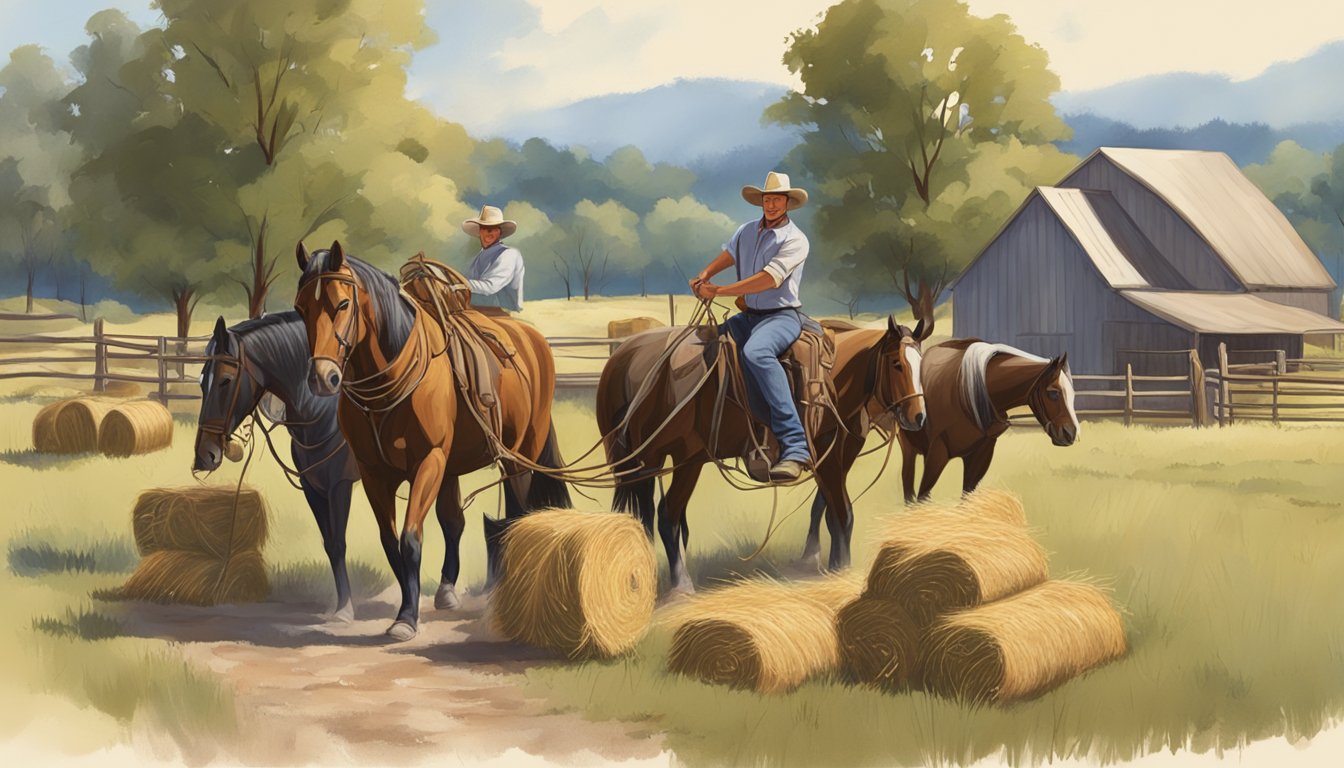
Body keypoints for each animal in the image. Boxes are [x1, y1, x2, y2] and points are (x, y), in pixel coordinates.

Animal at [294, 243, 567, 640]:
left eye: (343, 303)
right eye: (301, 308)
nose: (322, 377)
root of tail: (533, 341)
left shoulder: (429, 461)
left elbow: (411, 538)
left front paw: (406, 620)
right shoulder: (375, 473)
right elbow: (391, 541)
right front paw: (407, 608)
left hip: (520, 454)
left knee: (520, 512)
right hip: (459, 468)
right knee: (455, 521)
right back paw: (448, 590)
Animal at [594, 316, 930, 591]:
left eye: (920, 363)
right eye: (897, 364)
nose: (918, 417)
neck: (831, 380)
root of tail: (624, 358)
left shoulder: (835, 455)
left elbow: (826, 511)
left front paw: (823, 564)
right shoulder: (828, 457)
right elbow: (843, 515)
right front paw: (839, 568)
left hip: (648, 462)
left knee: (649, 516)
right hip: (683, 457)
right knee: (666, 515)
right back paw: (681, 587)